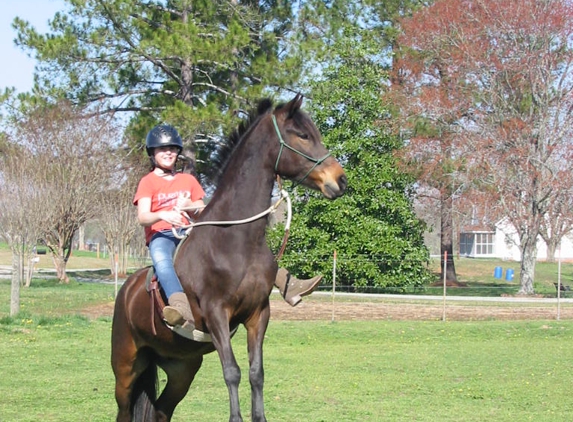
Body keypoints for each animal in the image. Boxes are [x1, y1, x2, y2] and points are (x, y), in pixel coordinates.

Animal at [110, 95, 346, 422]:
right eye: (302, 135)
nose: (340, 180)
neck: (233, 240)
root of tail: (126, 292)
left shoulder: (258, 314)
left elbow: (256, 373)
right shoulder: (217, 313)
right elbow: (232, 372)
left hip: (182, 368)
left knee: (160, 410)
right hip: (125, 368)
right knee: (124, 409)